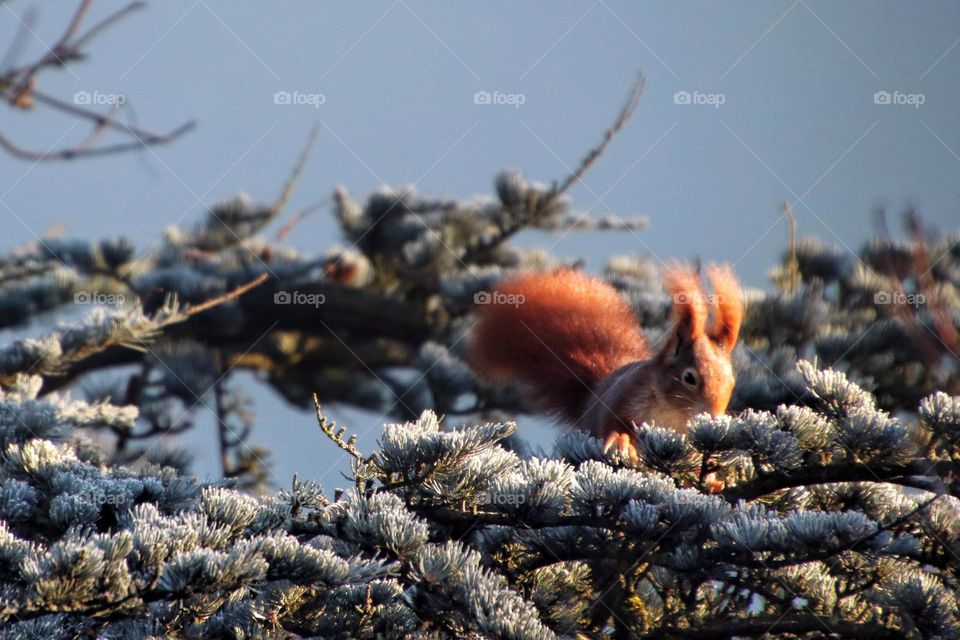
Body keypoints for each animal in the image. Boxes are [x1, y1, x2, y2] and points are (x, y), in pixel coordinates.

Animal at [468, 264, 748, 460]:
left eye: (732, 382)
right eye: (689, 377)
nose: (713, 417)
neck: (673, 413)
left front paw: (713, 479)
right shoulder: (624, 397)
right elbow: (613, 425)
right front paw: (621, 442)